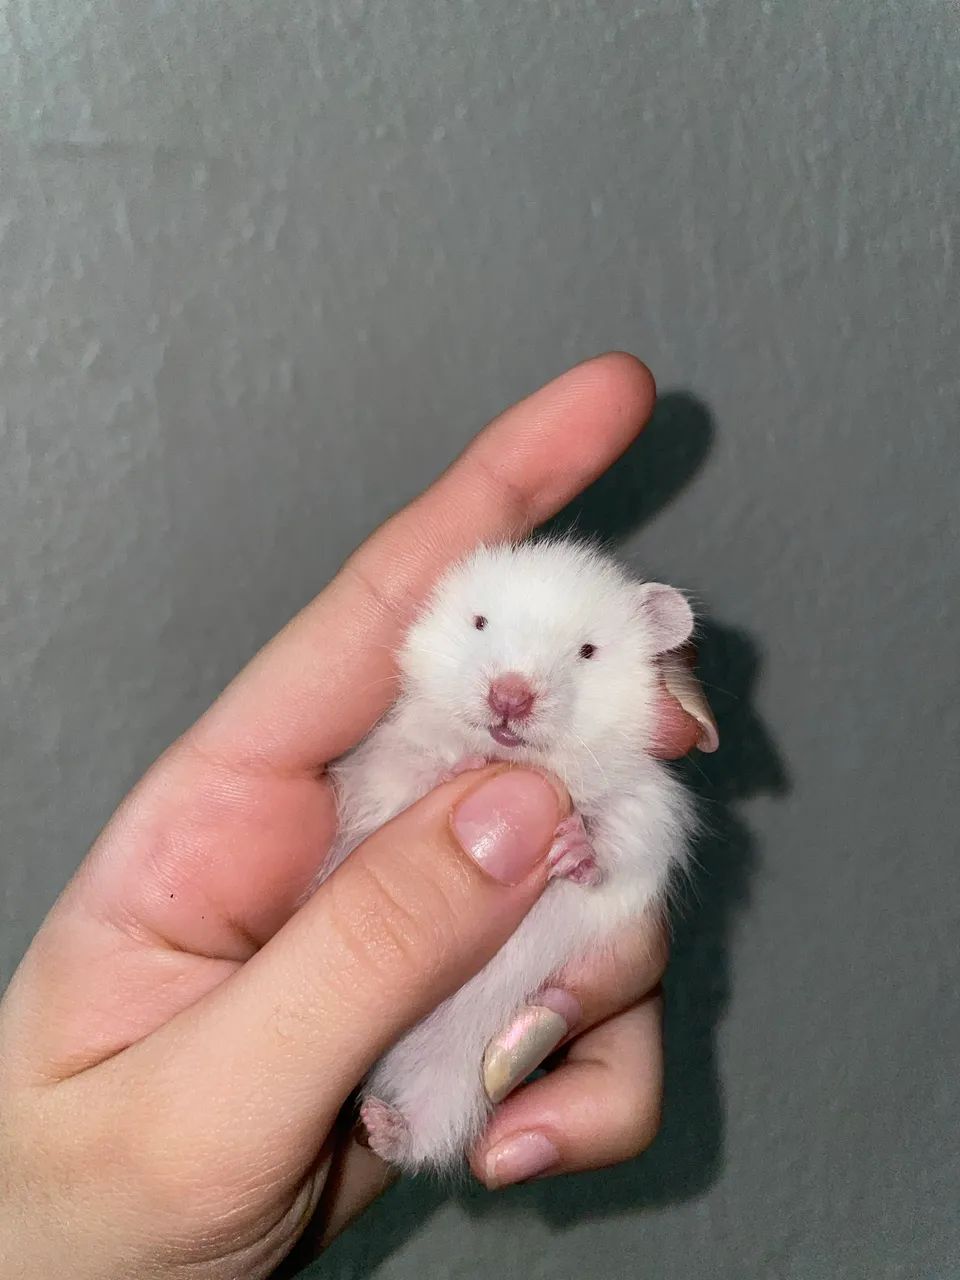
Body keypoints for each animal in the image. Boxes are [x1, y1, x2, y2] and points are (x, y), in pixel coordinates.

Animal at [320, 537, 698, 1174]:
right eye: (480, 622)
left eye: (588, 651)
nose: (510, 697)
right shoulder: (383, 761)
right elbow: (410, 777)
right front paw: (464, 771)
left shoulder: (646, 809)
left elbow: (617, 844)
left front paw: (572, 845)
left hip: (454, 1077)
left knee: (431, 1136)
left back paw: (379, 1127)